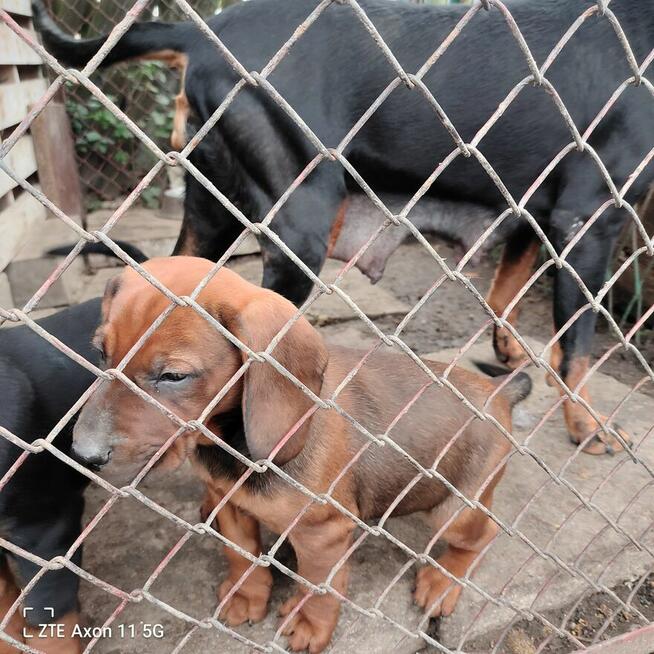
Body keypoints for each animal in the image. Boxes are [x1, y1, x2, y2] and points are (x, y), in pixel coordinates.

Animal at [70, 258, 532, 652]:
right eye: (101, 354)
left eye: (173, 376)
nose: (82, 453)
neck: (233, 445)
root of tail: (498, 393)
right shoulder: (228, 502)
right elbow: (241, 555)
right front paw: (248, 596)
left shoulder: (323, 533)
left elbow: (320, 587)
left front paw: (312, 625)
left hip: (454, 509)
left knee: (481, 536)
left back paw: (441, 581)